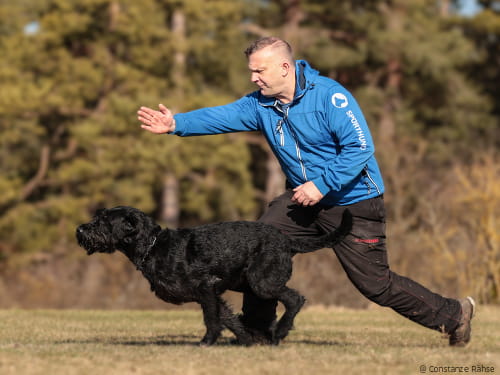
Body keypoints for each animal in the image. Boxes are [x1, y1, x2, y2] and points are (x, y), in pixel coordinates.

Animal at [77, 206, 352, 346]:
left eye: (103, 221)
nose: (80, 230)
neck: (154, 246)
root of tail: (287, 241)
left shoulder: (206, 288)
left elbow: (212, 319)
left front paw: (206, 342)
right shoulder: (212, 293)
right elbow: (229, 318)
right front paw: (247, 340)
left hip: (261, 282)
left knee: (295, 299)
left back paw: (280, 333)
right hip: (252, 283)